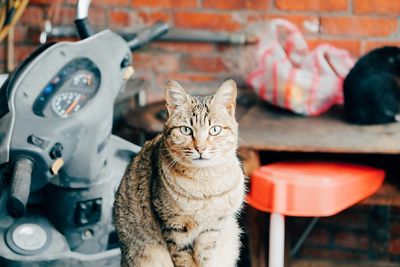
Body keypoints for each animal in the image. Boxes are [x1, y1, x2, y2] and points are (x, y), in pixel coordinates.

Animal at [114, 80, 245, 267]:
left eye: (215, 130)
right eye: (185, 130)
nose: (200, 148)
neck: (204, 183)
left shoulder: (212, 228)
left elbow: (205, 256)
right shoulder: (174, 226)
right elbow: (183, 258)